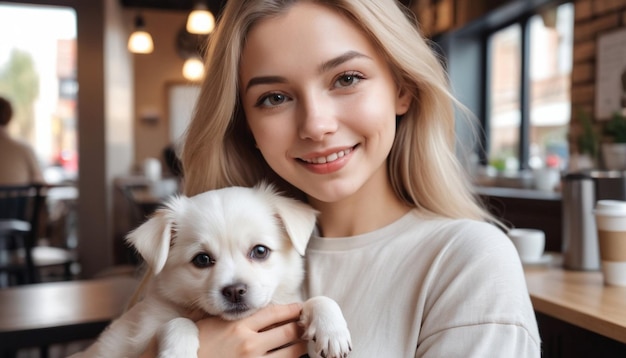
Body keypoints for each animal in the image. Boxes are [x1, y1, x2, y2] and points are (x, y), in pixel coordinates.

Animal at [75, 185, 348, 358]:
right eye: (202, 259)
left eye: (260, 251)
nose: (235, 291)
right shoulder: (144, 332)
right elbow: (178, 321)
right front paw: (178, 352)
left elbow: (316, 300)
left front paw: (331, 328)